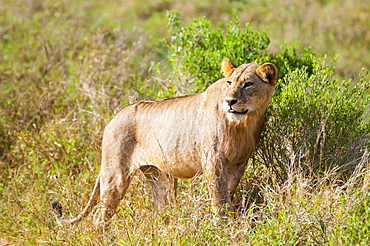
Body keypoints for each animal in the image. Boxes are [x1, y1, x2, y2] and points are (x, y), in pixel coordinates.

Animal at [52, 58, 278, 225]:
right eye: (229, 83)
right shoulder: (212, 159)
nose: (230, 101)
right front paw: (224, 227)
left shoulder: (239, 163)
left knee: (161, 210)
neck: (243, 124)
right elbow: (219, 198)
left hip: (159, 177)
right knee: (99, 219)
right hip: (114, 175)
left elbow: (228, 192)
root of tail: (115, 116)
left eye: (248, 84)